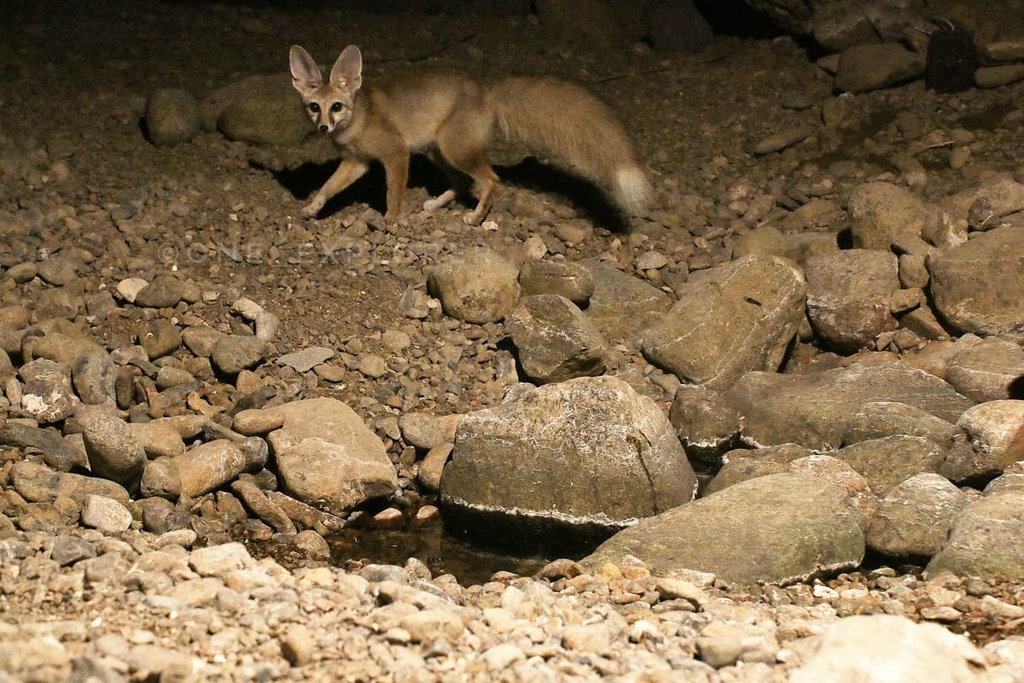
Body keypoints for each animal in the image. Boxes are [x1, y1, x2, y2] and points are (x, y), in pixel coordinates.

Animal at [288, 45, 647, 227]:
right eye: (314, 107)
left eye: (336, 106)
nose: (323, 128)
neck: (358, 120)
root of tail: (485, 91)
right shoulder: (356, 162)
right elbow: (327, 188)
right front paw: (312, 208)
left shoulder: (396, 153)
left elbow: (393, 192)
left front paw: (391, 219)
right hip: (439, 153)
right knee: (463, 182)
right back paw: (436, 204)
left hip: (453, 151)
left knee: (491, 179)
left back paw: (475, 216)